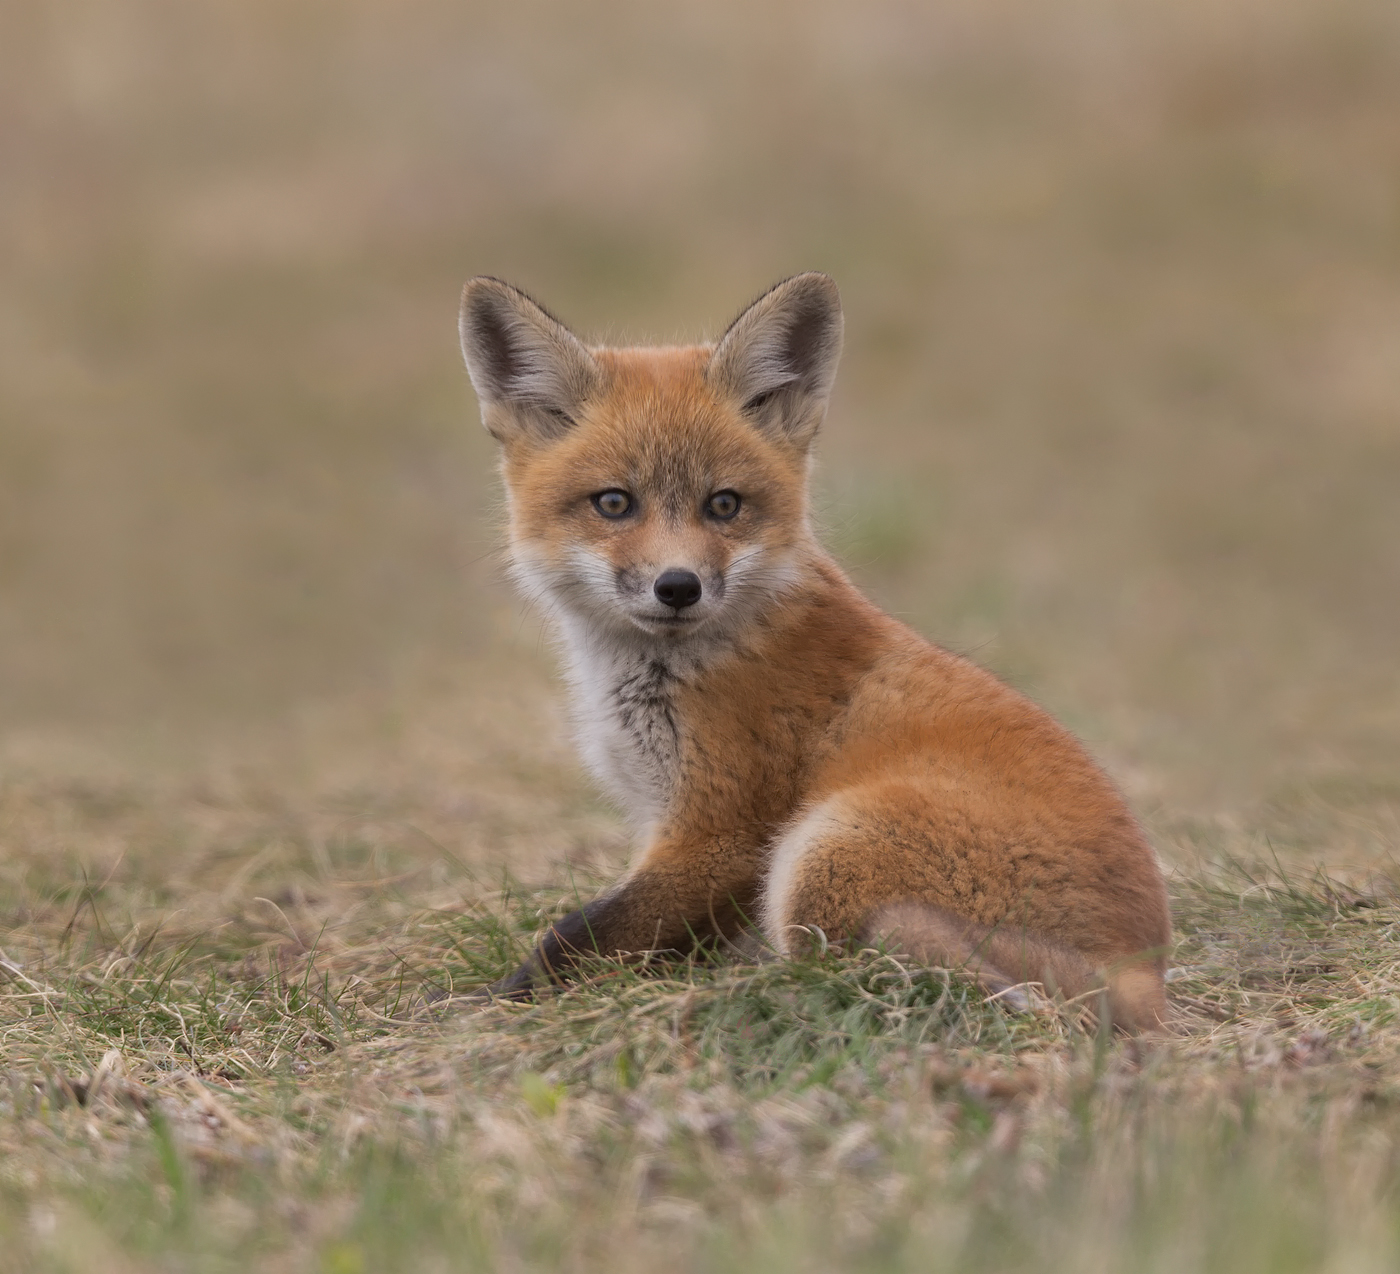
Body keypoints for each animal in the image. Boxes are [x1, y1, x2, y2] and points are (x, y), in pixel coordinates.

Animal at [458, 272, 1172, 1031]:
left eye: (724, 505)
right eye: (615, 503)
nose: (677, 586)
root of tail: (1146, 977)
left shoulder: (721, 832)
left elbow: (581, 931)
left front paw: (500, 999)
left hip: (824, 847)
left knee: (866, 976)